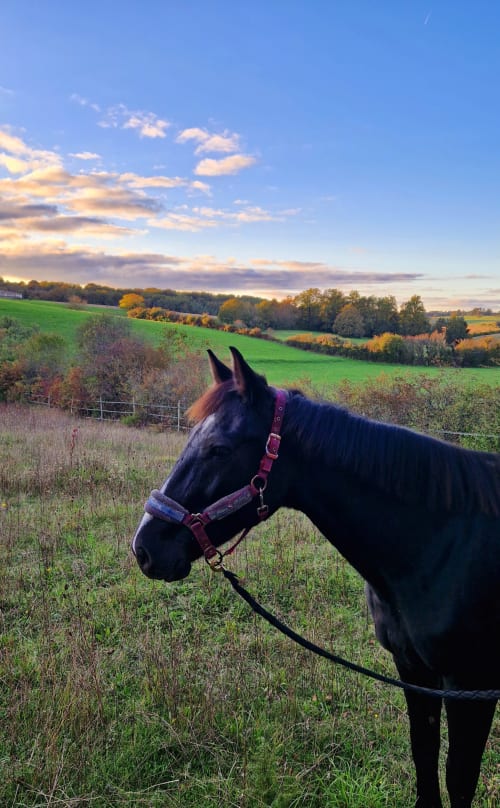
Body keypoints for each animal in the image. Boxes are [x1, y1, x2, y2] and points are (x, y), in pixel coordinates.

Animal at [132, 347, 500, 808]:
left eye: (218, 449)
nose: (144, 548)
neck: (441, 543)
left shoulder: (469, 684)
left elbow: (458, 777)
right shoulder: (414, 671)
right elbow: (425, 756)